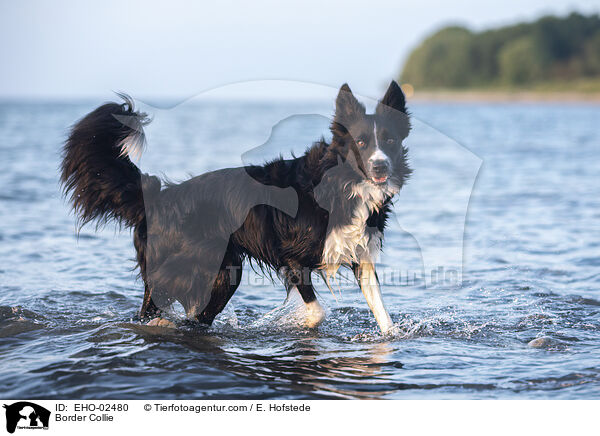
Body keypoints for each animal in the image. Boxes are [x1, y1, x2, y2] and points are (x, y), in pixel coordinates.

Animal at [61, 82, 410, 334]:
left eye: (390, 141)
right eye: (361, 142)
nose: (380, 167)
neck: (342, 185)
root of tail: (159, 196)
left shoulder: (362, 255)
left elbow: (381, 311)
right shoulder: (292, 256)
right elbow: (317, 311)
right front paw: (291, 324)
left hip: (220, 273)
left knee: (195, 316)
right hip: (194, 269)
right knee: (152, 310)